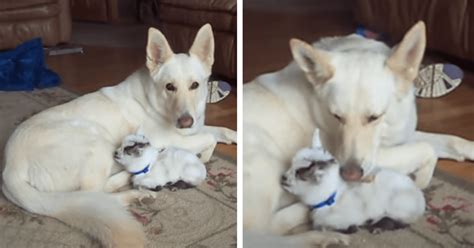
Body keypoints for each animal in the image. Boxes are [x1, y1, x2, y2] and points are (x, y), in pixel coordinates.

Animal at [0, 23, 236, 248]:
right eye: (170, 87)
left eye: (195, 85)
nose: (185, 121)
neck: (156, 102)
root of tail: (10, 168)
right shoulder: (169, 138)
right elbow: (208, 139)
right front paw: (204, 156)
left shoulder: (194, 127)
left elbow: (218, 131)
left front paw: (234, 134)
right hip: (96, 143)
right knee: (96, 194)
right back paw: (135, 188)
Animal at [244, 21, 474, 246]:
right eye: (337, 116)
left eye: (374, 117)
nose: (349, 175)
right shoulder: (376, 158)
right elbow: (427, 150)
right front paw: (421, 180)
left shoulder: (398, 138)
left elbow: (448, 141)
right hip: (265, 164)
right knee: (262, 232)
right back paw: (323, 234)